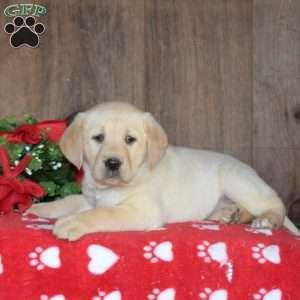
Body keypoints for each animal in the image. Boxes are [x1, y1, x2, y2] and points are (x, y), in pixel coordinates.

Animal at [27, 102, 298, 240]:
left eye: (130, 140)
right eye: (98, 138)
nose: (112, 163)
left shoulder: (142, 211)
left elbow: (103, 213)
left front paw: (72, 223)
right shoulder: (90, 198)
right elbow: (71, 201)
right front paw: (41, 208)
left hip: (238, 181)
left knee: (275, 204)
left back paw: (266, 220)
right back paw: (229, 214)